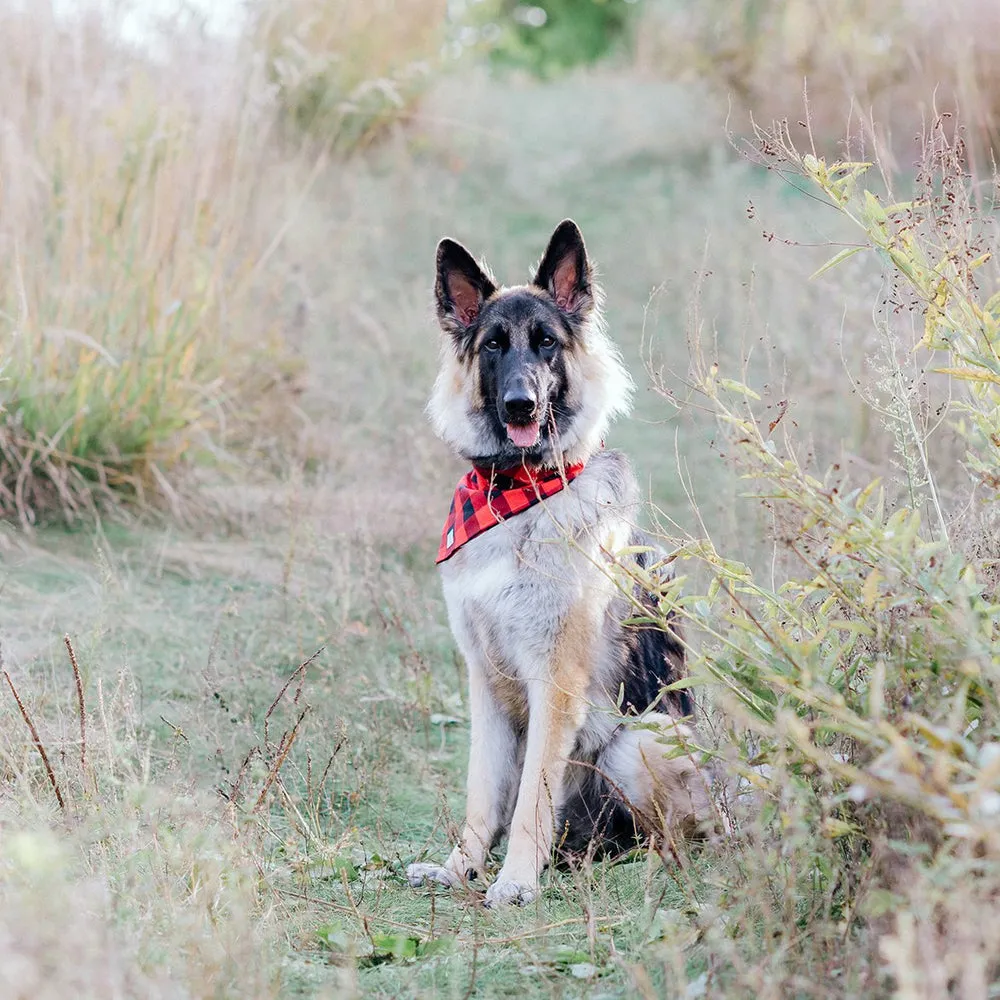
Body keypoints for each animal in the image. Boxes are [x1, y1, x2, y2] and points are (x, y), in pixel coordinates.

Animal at [406, 219, 712, 908]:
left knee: (677, 840)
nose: (520, 405)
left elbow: (529, 802)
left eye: (546, 343)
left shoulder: (557, 683)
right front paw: (462, 867)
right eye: (493, 347)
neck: (518, 495)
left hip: (641, 738)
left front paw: (516, 880)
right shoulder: (486, 683)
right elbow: (483, 792)